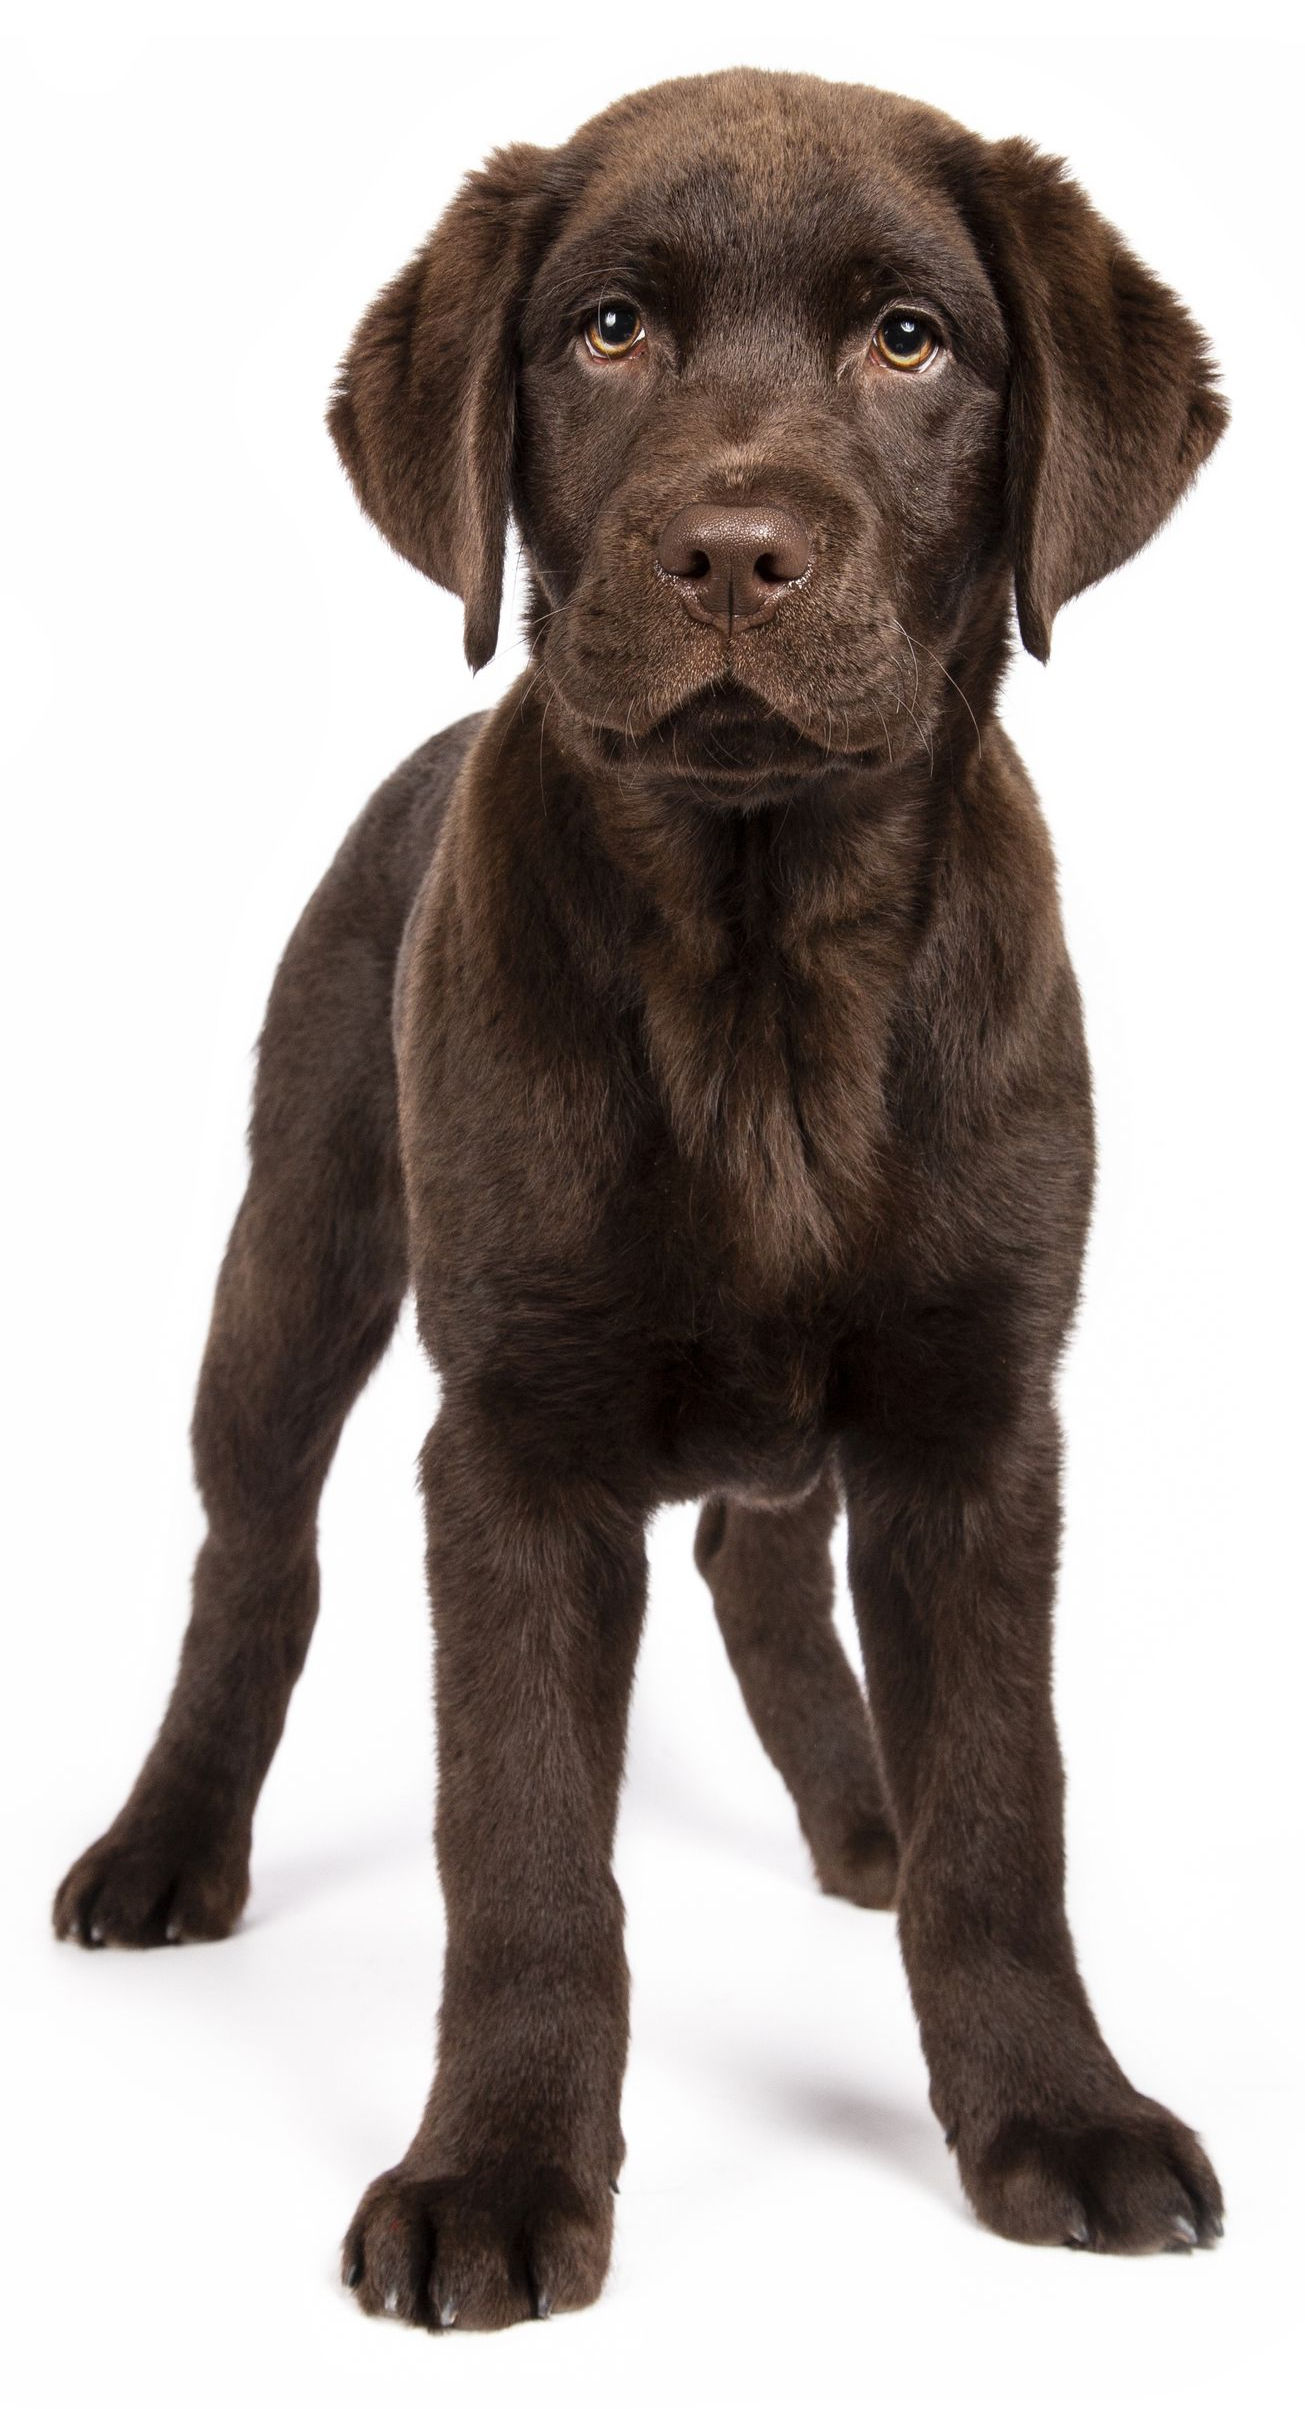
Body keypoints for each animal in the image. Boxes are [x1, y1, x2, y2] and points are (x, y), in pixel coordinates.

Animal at [54, 67, 1228, 2326]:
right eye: (606, 332)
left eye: (910, 341)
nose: (737, 553)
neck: (760, 955)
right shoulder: (510, 1439)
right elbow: (518, 1848)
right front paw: (495, 2171)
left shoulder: (980, 1420)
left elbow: (1005, 1814)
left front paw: (1055, 2111)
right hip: (300, 1244)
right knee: (254, 1558)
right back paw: (164, 1846)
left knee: (760, 1559)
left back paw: (862, 1809)